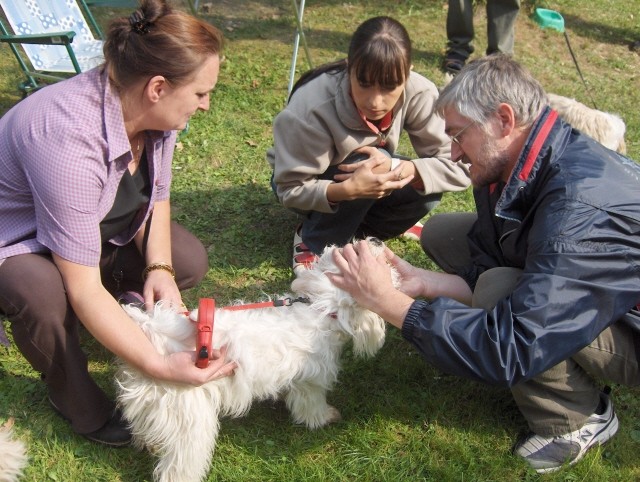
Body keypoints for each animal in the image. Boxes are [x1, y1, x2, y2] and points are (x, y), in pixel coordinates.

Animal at [115, 238, 396, 482]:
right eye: (358, 254)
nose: (377, 241)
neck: (320, 308)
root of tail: (153, 331)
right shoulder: (312, 381)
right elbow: (311, 406)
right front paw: (325, 417)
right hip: (189, 421)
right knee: (177, 467)